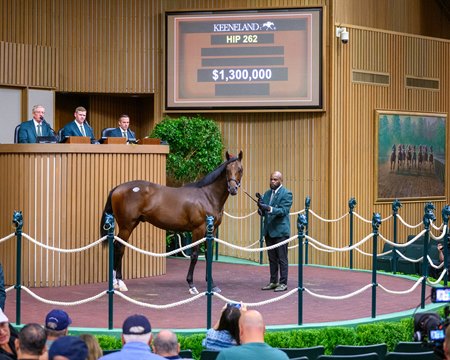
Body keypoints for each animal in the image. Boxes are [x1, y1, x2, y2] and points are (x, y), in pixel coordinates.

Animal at [100, 150, 244, 294]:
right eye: (227, 170)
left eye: (240, 169)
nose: (233, 189)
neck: (207, 196)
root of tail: (117, 188)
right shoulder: (198, 229)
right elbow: (194, 255)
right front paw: (191, 285)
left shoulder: (212, 231)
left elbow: (209, 256)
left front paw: (212, 285)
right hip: (126, 226)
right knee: (119, 247)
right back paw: (118, 282)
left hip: (131, 225)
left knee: (121, 247)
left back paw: (118, 282)